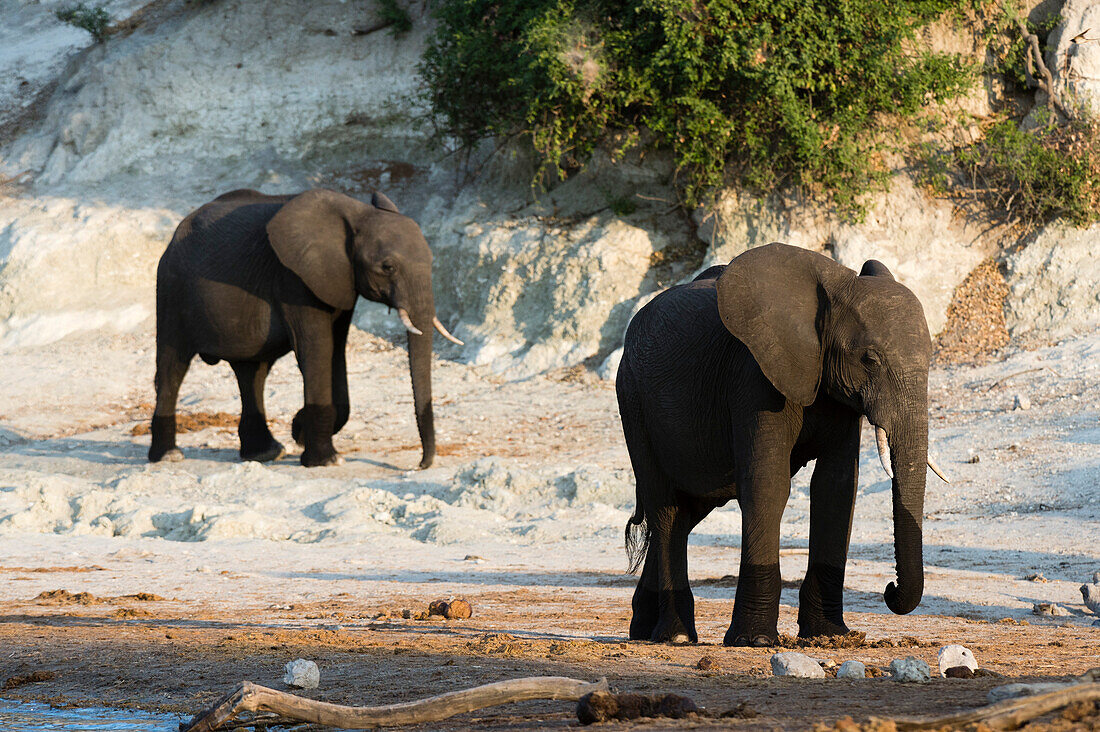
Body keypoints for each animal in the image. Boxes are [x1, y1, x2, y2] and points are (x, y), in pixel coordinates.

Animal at [146, 186, 459, 464]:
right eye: (388, 267)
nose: (421, 464)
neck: (355, 213)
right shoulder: (293, 278)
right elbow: (316, 349)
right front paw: (324, 458)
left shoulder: (339, 282)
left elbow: (335, 351)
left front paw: (300, 431)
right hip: (172, 288)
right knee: (173, 366)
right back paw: (168, 456)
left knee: (252, 373)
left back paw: (265, 453)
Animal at [616, 245, 950, 647]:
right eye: (870, 359)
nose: (888, 589)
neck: (835, 290)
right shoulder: (755, 376)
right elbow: (768, 485)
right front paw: (756, 641)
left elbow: (836, 488)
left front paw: (830, 634)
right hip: (633, 402)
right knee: (665, 508)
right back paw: (677, 636)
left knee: (686, 513)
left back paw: (644, 631)